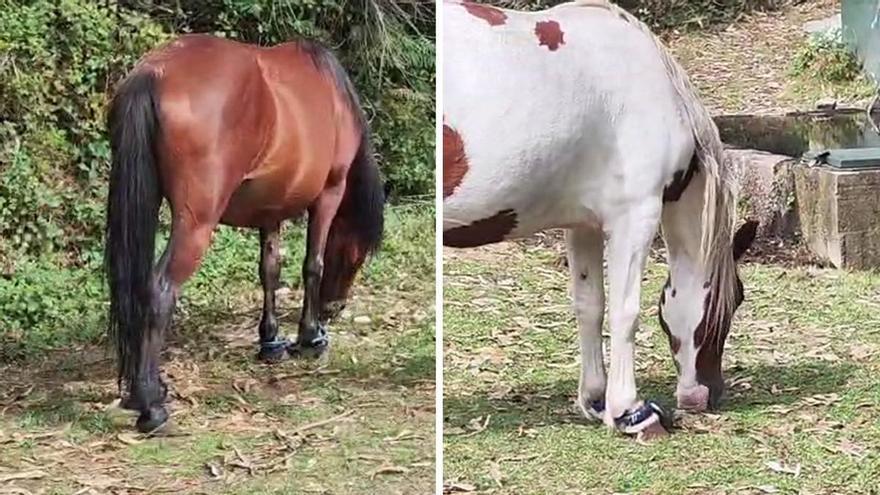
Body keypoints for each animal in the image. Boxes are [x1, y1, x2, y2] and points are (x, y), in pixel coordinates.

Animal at [105, 34, 384, 432]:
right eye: (356, 256)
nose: (334, 309)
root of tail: (154, 72)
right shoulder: (329, 193)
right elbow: (312, 265)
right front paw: (310, 337)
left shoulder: (271, 208)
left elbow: (269, 271)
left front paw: (271, 341)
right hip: (196, 223)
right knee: (160, 290)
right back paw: (151, 404)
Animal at [442, 0, 757, 438]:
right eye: (736, 298)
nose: (707, 395)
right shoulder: (634, 218)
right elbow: (626, 312)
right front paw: (631, 412)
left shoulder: (583, 225)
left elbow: (590, 305)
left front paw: (596, 399)